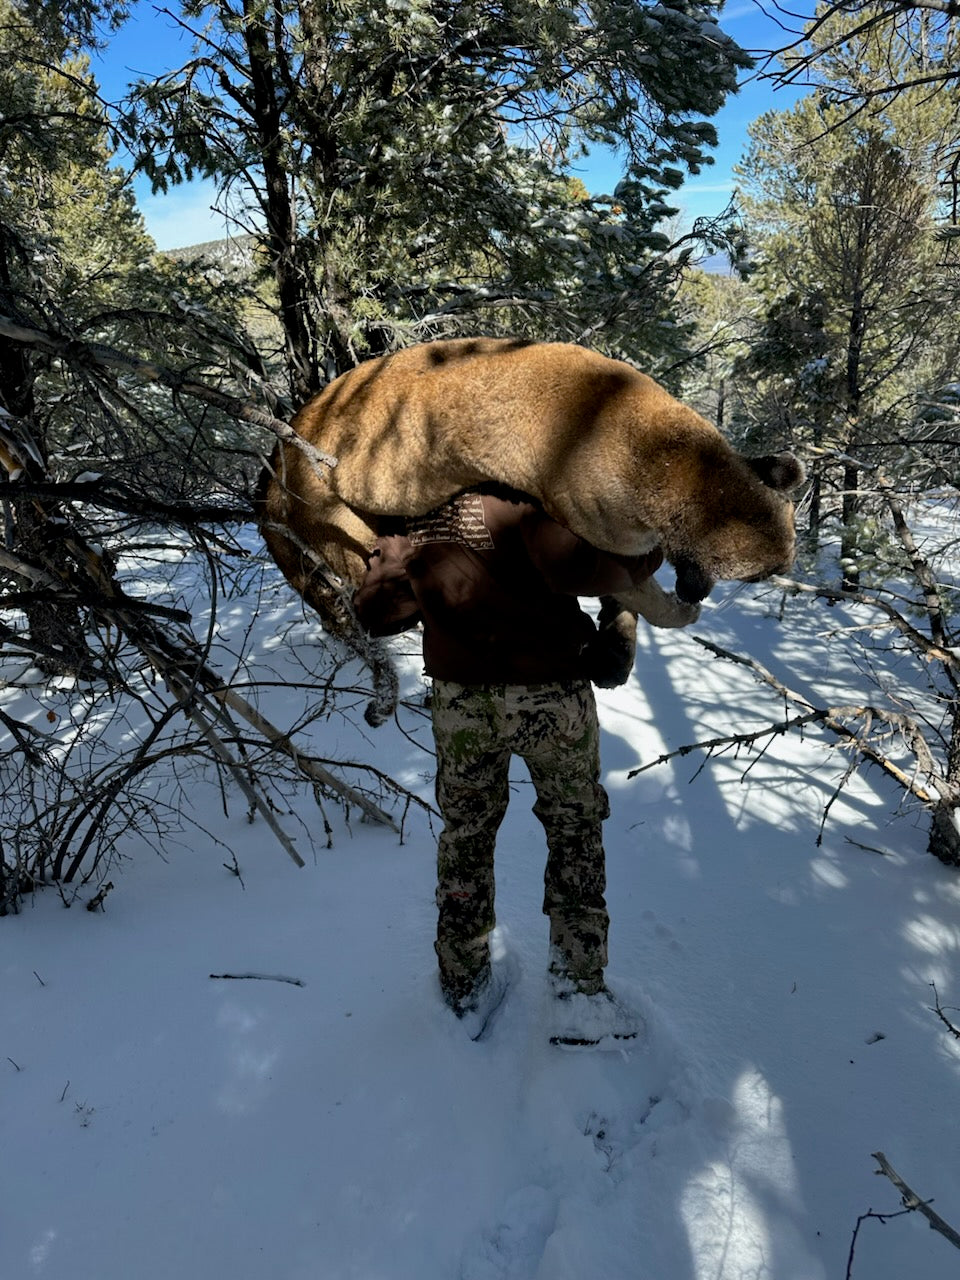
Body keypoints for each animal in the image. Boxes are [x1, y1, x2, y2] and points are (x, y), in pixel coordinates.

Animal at [257, 337, 803, 719]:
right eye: (762, 573)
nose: (790, 564)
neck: (674, 461)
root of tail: (270, 473)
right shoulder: (597, 536)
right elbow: (637, 590)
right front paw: (675, 615)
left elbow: (625, 597)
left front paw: (616, 651)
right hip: (339, 531)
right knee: (367, 611)